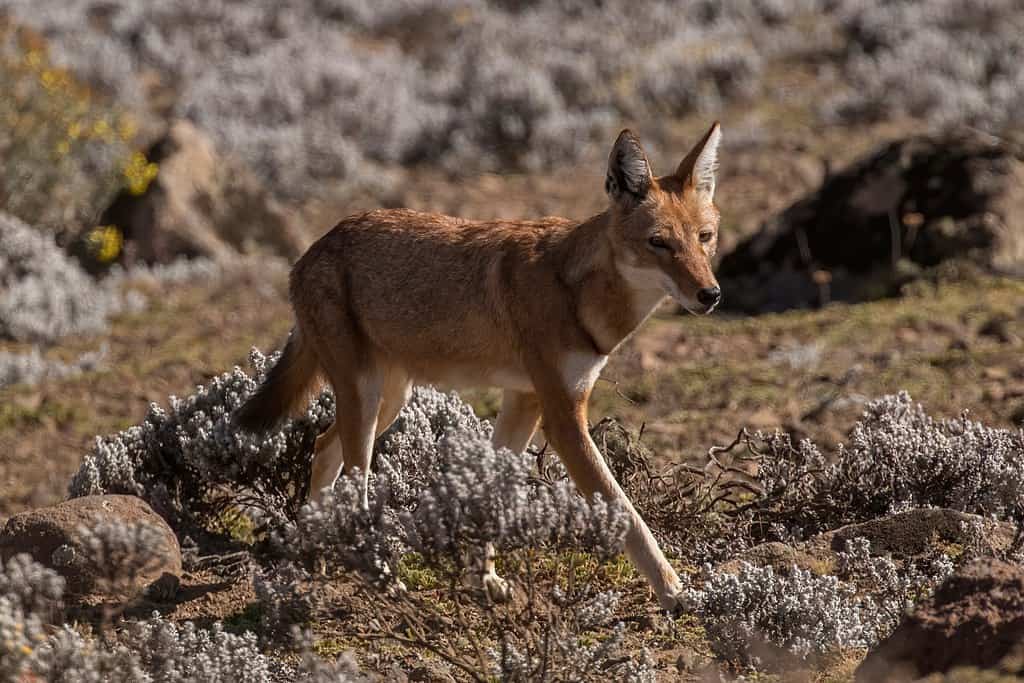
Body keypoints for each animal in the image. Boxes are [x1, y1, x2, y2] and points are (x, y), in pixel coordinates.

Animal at [236, 123, 723, 610]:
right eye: (658, 242)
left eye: (705, 237)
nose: (711, 295)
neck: (576, 292)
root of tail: (313, 248)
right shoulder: (564, 419)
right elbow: (627, 513)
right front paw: (675, 592)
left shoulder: (525, 401)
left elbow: (491, 493)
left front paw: (484, 579)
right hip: (369, 401)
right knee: (354, 485)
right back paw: (381, 577)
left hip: (388, 402)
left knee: (321, 447)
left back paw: (315, 556)